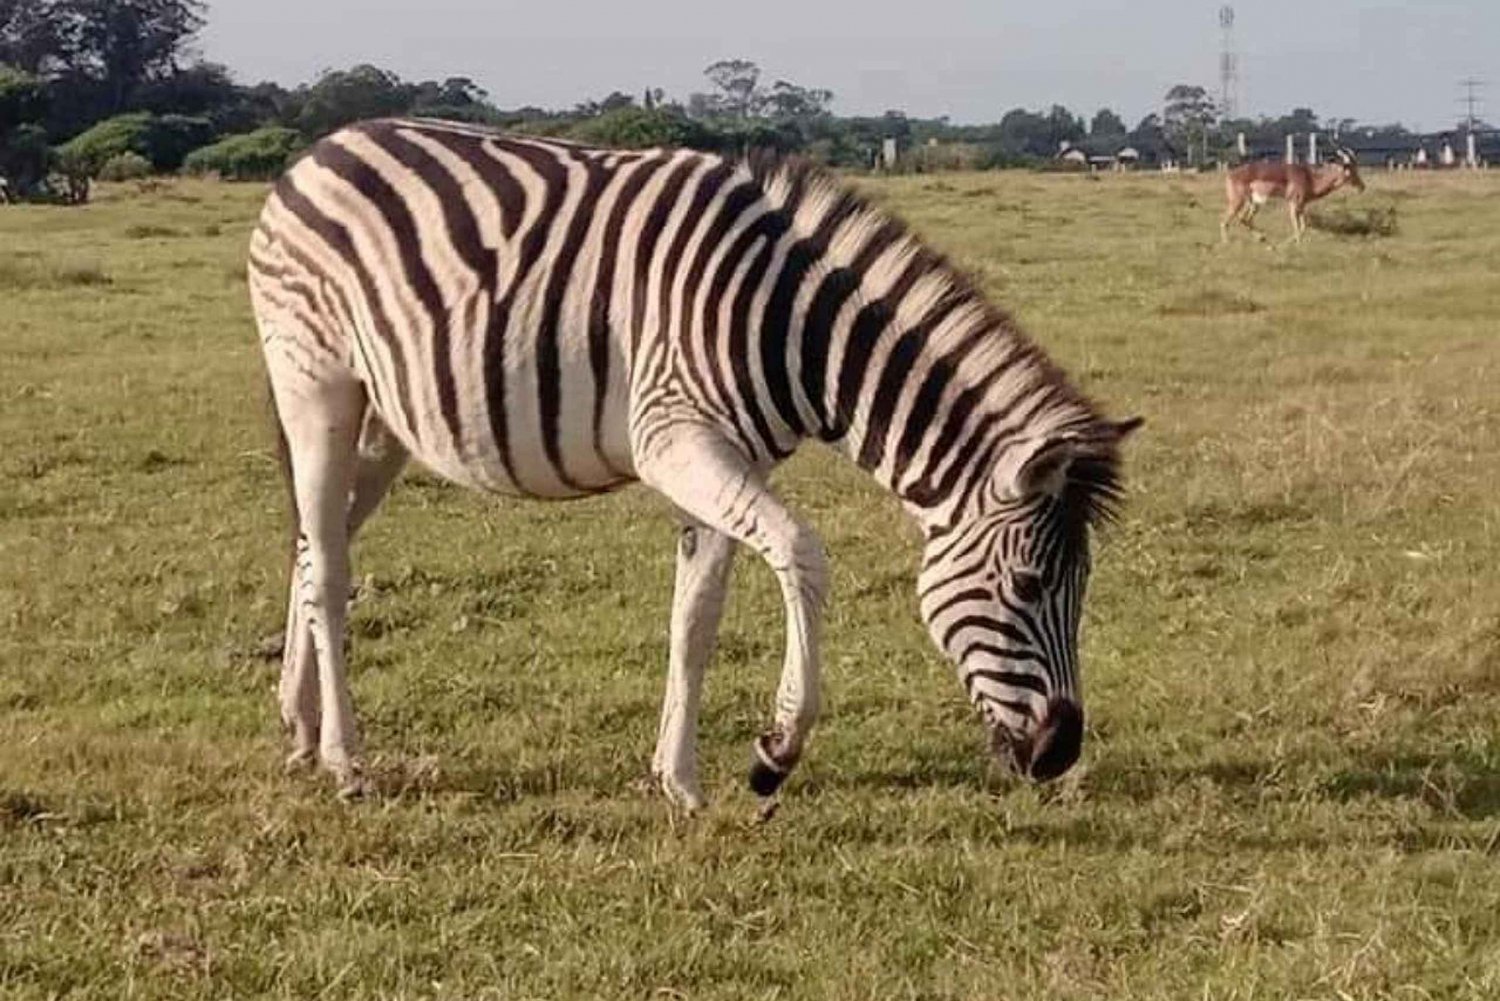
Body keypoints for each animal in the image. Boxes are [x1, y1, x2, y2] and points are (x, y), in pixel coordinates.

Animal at [249, 119, 1134, 804]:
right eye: (1028, 585)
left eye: (1083, 585)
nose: (1059, 752)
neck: (789, 326)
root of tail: (318, 151)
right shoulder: (675, 439)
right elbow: (802, 555)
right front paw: (776, 751)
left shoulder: (726, 459)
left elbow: (695, 617)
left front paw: (678, 779)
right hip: (315, 387)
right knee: (329, 568)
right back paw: (346, 762)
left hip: (381, 423)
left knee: (310, 545)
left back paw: (300, 725)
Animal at [1224, 145, 1368, 243]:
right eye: (1350, 170)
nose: (1362, 187)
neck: (1310, 179)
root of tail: (1231, 174)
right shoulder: (1293, 204)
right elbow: (1297, 228)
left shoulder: (1301, 205)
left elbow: (1303, 227)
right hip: (1238, 202)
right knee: (1225, 222)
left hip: (1254, 204)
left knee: (1243, 219)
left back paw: (1263, 239)